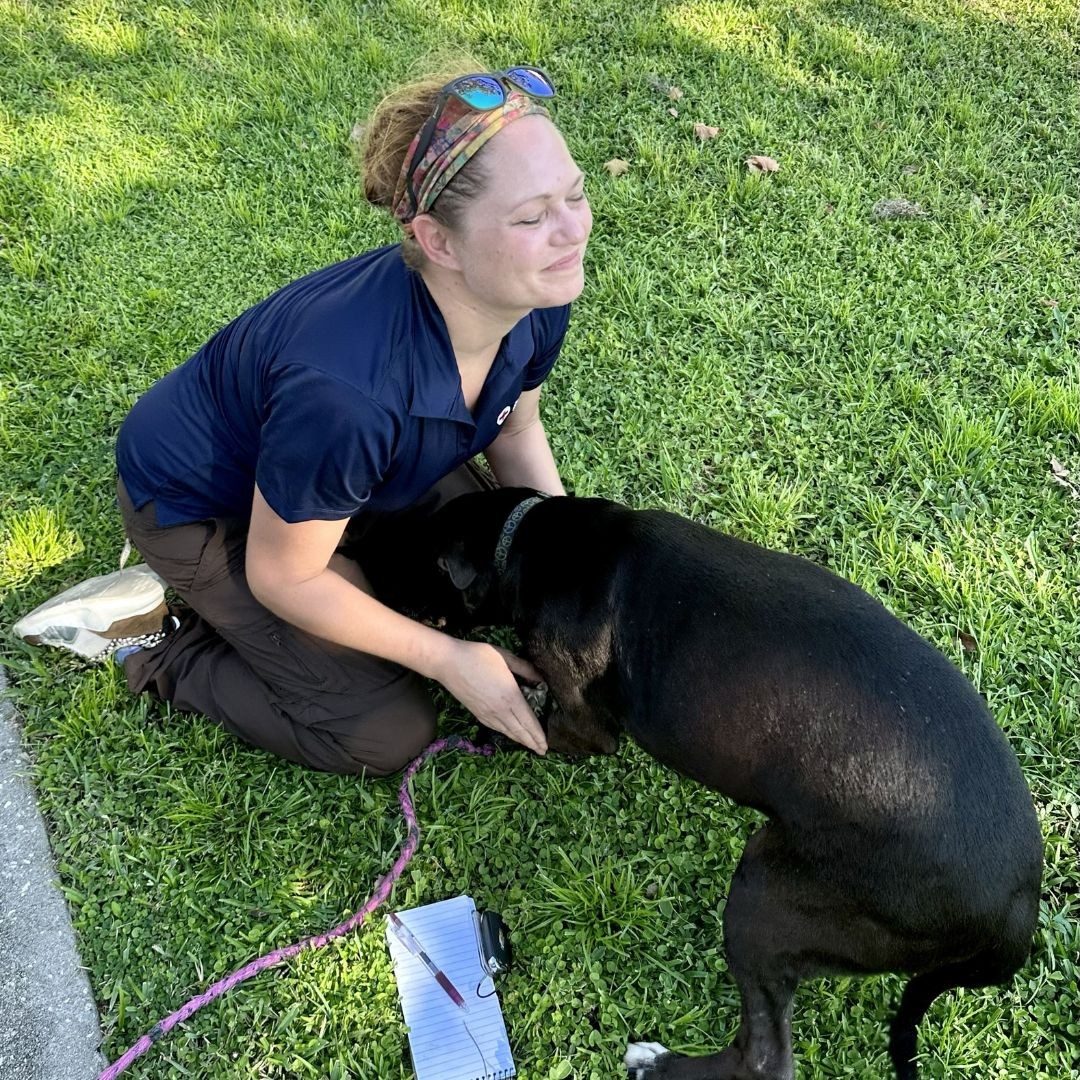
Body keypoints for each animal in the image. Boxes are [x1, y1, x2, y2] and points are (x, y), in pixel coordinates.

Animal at [367, 492, 1041, 1080]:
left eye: (413, 568)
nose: (367, 581)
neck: (526, 537)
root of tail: (1018, 907)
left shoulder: (584, 726)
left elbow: (523, 721)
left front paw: (483, 719)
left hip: (768, 893)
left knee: (764, 1060)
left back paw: (658, 1065)